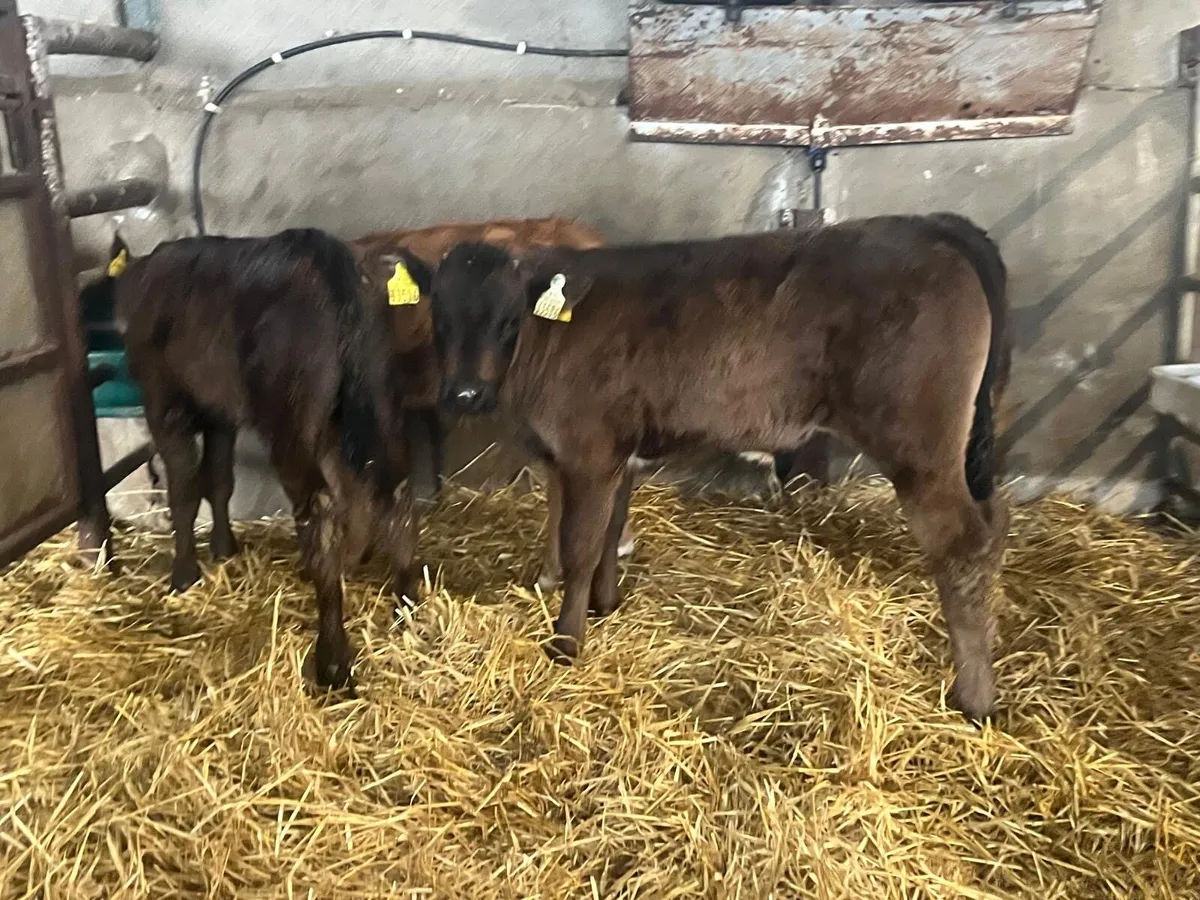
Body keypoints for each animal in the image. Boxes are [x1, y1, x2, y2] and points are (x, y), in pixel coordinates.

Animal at [80, 228, 428, 691]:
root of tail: (325, 254)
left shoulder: (165, 402)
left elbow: (184, 487)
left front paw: (183, 574)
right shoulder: (220, 414)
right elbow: (219, 479)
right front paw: (223, 548)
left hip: (289, 416)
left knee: (320, 506)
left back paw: (332, 661)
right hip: (377, 393)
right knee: (391, 483)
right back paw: (404, 601)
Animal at [427, 213, 1011, 721]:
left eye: (508, 320)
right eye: (440, 320)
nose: (464, 393)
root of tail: (927, 223)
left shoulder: (588, 453)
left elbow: (581, 547)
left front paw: (566, 642)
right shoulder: (621, 454)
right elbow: (612, 530)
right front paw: (606, 605)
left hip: (920, 448)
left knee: (962, 544)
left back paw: (974, 699)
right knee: (994, 524)